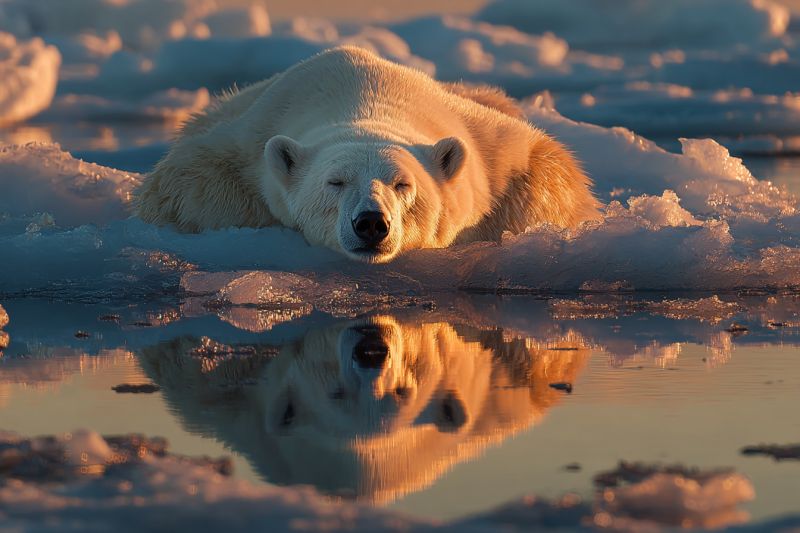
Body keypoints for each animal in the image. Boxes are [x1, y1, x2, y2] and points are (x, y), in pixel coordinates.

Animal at [136, 46, 600, 263]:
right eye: (335, 182)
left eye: (403, 184)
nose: (371, 223)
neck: (364, 93)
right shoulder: (245, 137)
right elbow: (187, 188)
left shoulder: (488, 143)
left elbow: (546, 171)